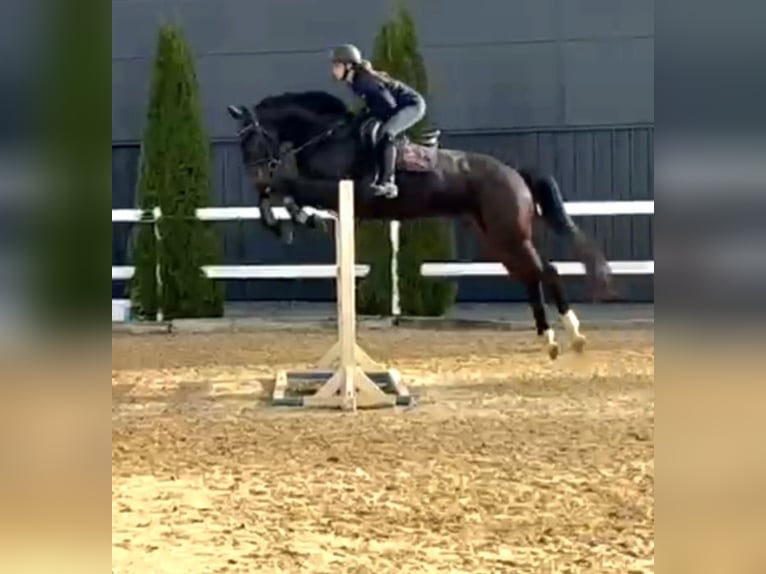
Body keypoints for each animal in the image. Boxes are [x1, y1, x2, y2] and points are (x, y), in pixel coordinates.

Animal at [226, 90, 613, 359]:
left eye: (251, 139)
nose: (254, 175)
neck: (328, 137)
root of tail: (514, 172)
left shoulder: (332, 190)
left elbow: (284, 187)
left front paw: (287, 219)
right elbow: (282, 193)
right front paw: (295, 220)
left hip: (510, 235)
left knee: (546, 271)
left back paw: (574, 335)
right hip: (498, 239)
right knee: (532, 276)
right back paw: (549, 339)